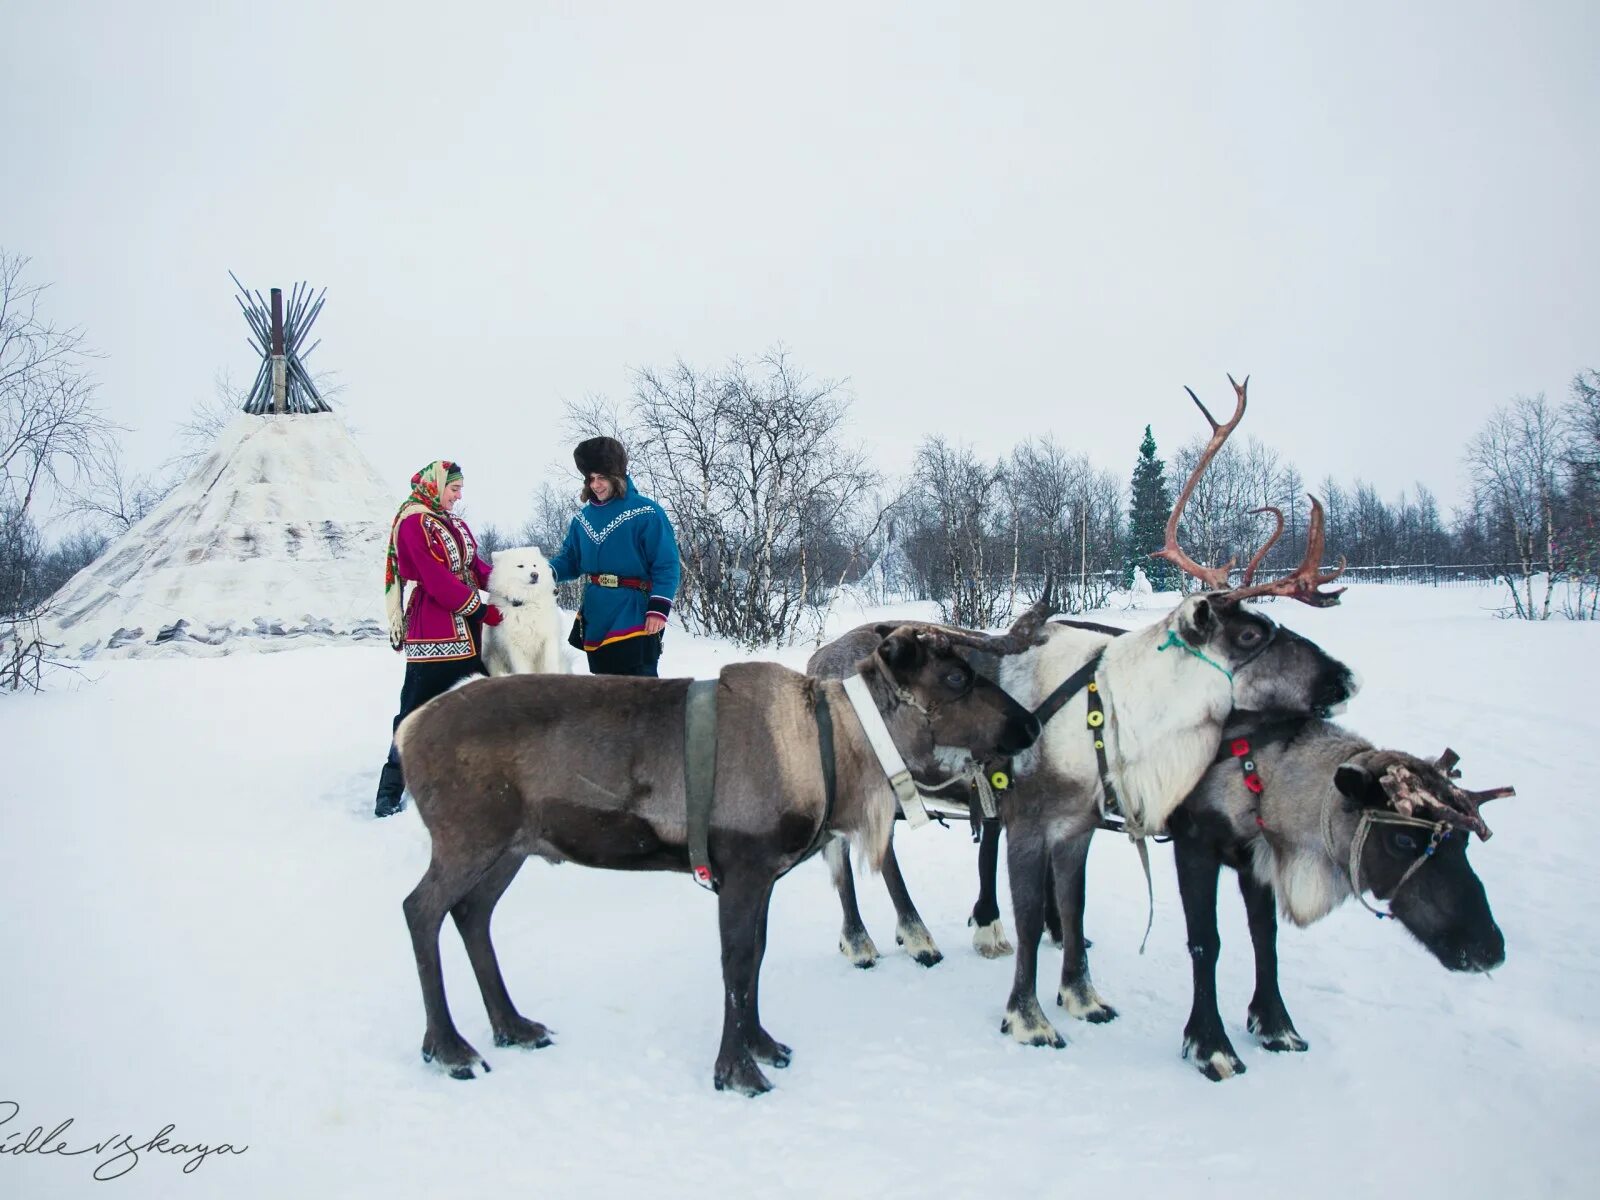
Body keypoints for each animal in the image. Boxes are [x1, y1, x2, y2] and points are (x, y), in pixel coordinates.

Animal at [480, 547, 569, 678]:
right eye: (520, 566)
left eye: (534, 565)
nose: (535, 574)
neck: (525, 603)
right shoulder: (514, 647)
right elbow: (522, 670)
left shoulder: (548, 639)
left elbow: (550, 665)